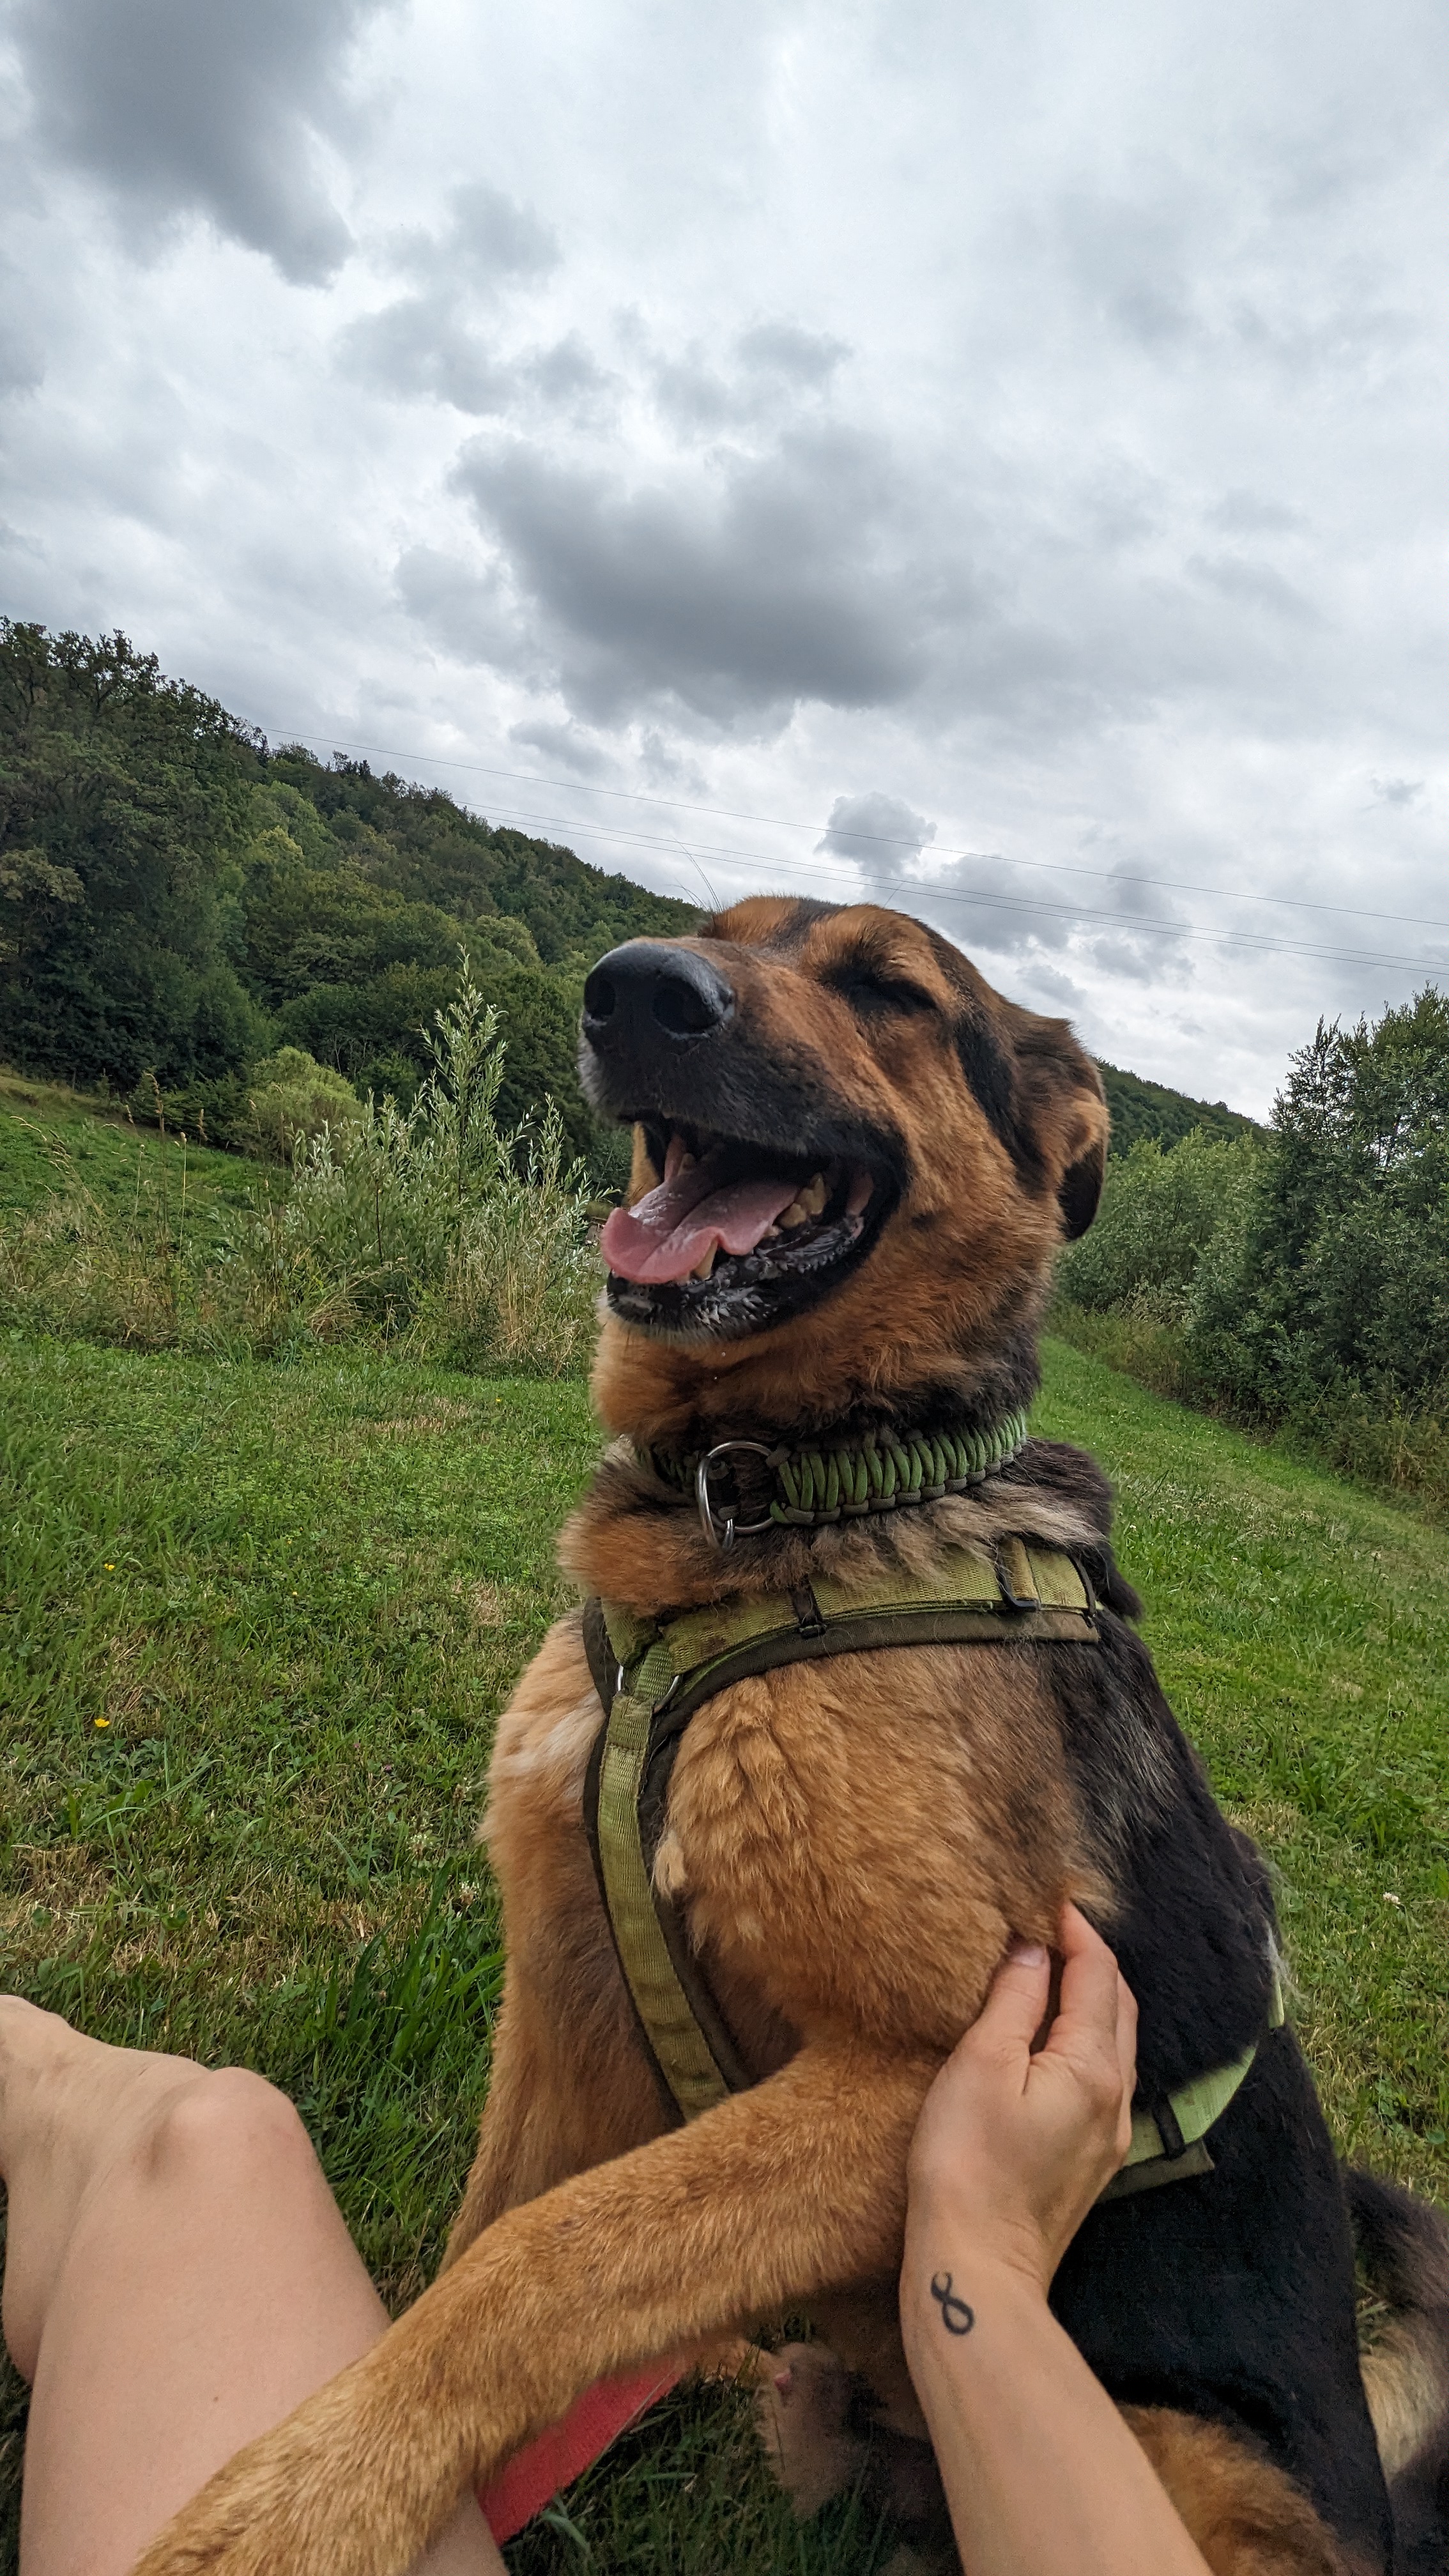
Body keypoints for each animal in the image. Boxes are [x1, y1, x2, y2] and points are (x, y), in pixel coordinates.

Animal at [136, 896, 1449, 2576]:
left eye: (891, 989)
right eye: (711, 932)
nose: (632, 991)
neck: (779, 1502)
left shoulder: (916, 2080)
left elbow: (539, 2260)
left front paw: (302, 2502)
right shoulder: (571, 1981)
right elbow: (492, 2225)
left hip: (1172, 2450)